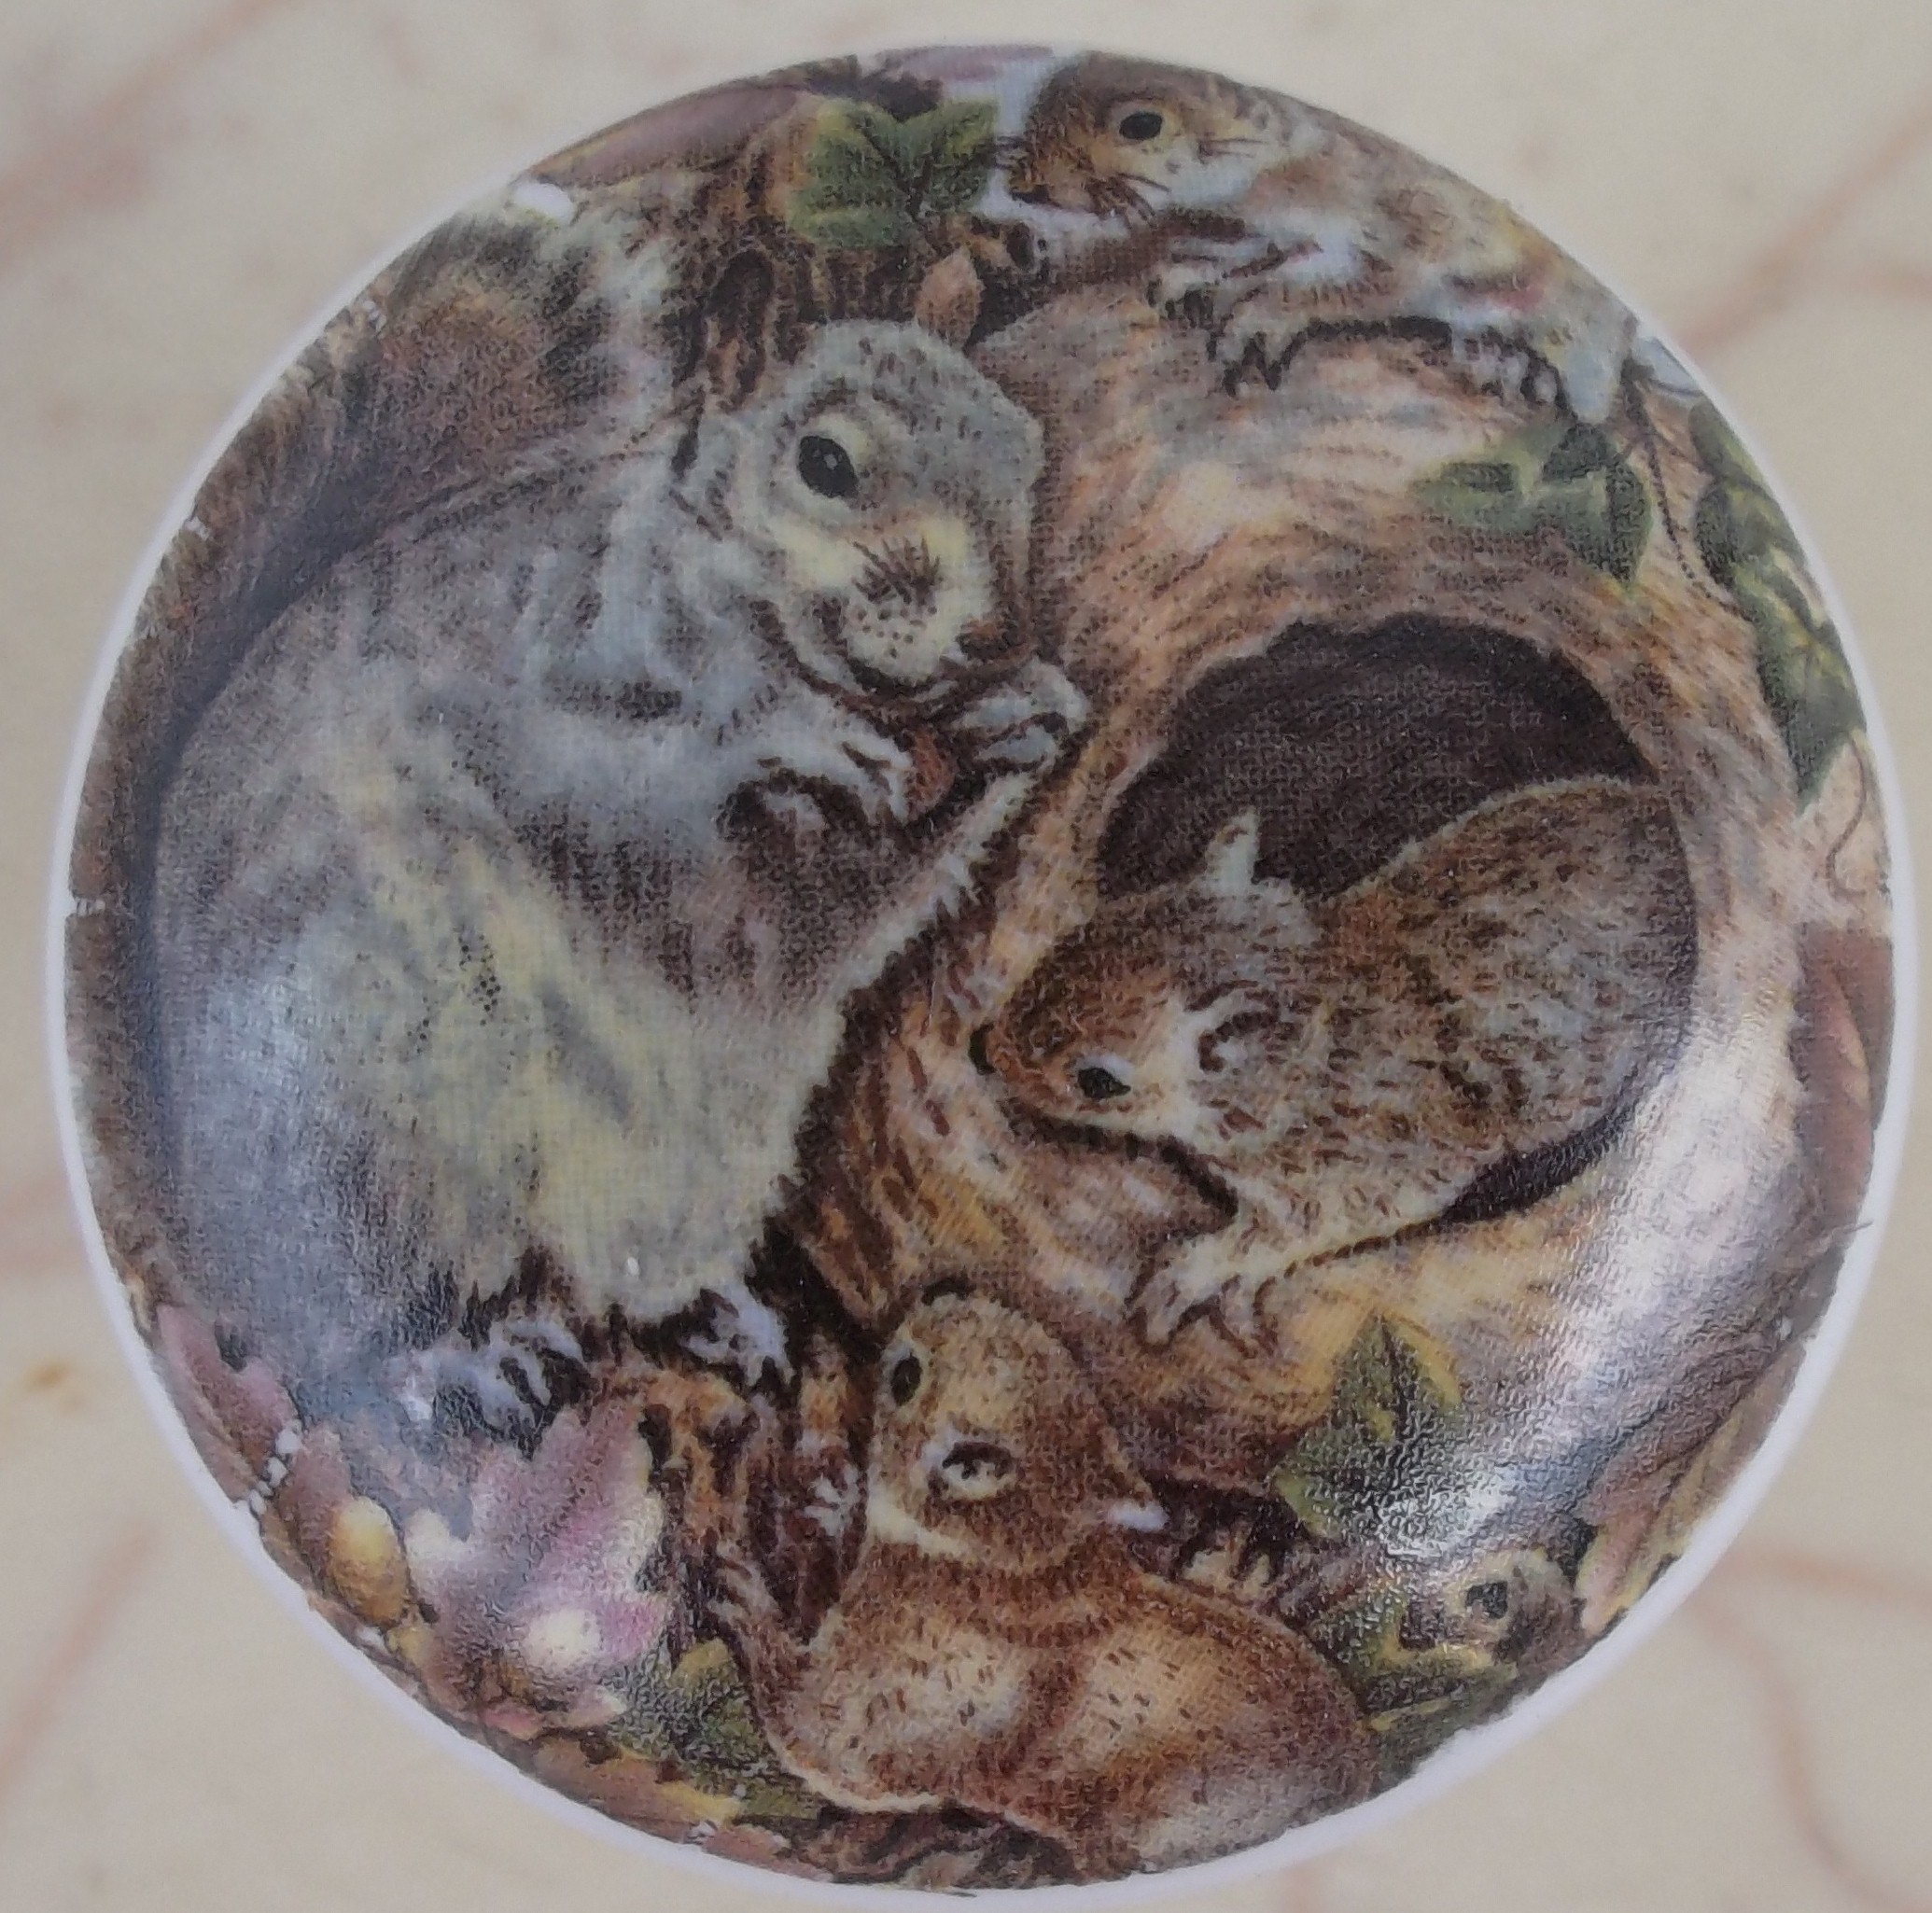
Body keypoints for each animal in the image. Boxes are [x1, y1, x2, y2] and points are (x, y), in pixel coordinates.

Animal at [149, 255, 1088, 1440]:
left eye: (1022, 446)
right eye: (825, 462)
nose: (994, 636)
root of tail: (205, 1230)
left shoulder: (789, 907)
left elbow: (855, 906)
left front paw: (1021, 721)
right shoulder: (535, 697)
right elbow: (628, 782)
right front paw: (786, 730)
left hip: (699, 1167)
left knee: (627, 1275)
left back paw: (725, 1315)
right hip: (370, 1125)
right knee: (350, 1326)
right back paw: (453, 1361)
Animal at [983, 776, 1696, 1343]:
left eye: (1098, 1081)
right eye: (1077, 937)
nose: (986, 1051)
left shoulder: (1378, 1163)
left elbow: (1299, 1228)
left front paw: (1207, 1267)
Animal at [998, 53, 1635, 419]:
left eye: (1141, 125)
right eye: (1044, 95)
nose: (1027, 186)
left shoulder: (1406, 225)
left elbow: (1360, 287)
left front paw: (1265, 314)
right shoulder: (1286, 229)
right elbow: (1272, 254)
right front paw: (1205, 267)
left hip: (1577, 332)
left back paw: (1517, 362)